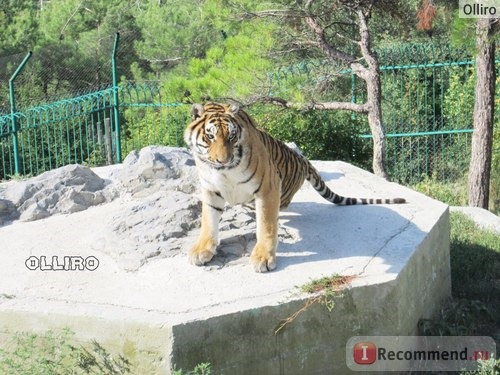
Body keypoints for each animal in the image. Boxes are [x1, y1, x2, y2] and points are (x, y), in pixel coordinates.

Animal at [185, 103, 406, 274]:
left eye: (231, 137)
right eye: (210, 137)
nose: (224, 160)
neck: (224, 172)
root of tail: (303, 159)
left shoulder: (268, 187)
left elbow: (266, 225)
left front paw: (263, 258)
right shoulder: (211, 189)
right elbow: (208, 221)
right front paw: (202, 250)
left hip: (280, 193)